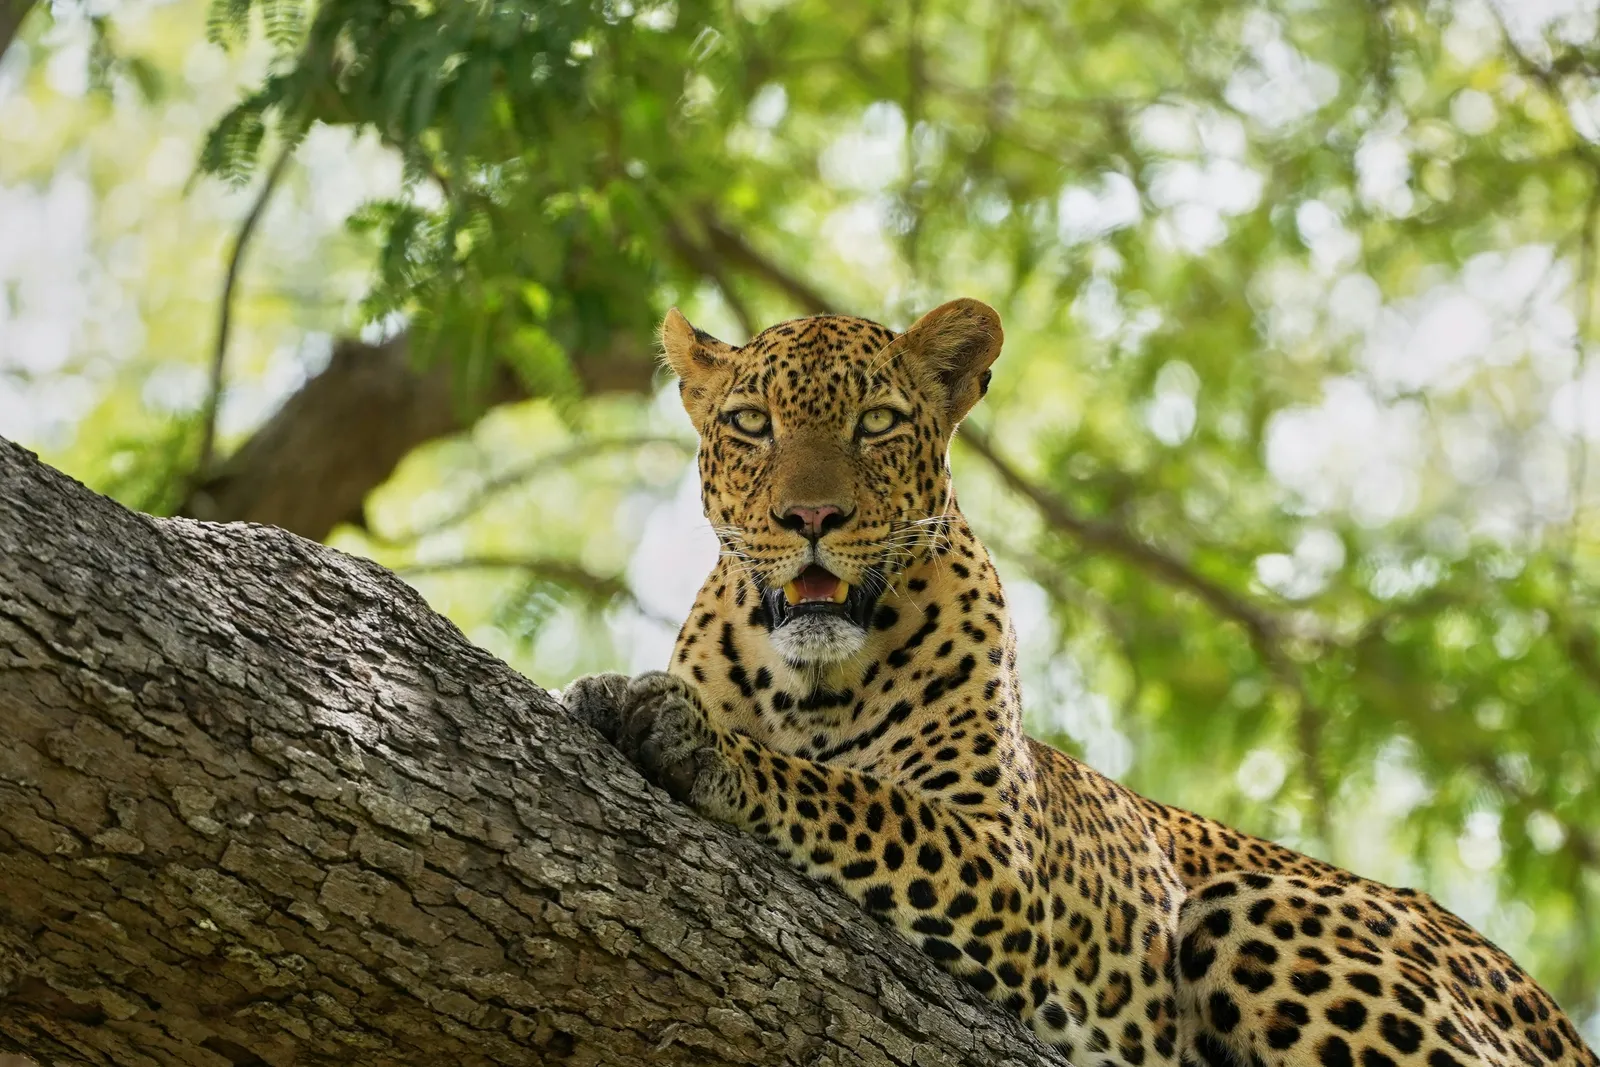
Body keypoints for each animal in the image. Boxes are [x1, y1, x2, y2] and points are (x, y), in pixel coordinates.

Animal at [562, 299, 1598, 1067]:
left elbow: (845, 793)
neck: (805, 680)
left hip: (1257, 906)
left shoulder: (997, 857)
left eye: (878, 422)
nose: (811, 515)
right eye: (750, 424)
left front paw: (689, 732)